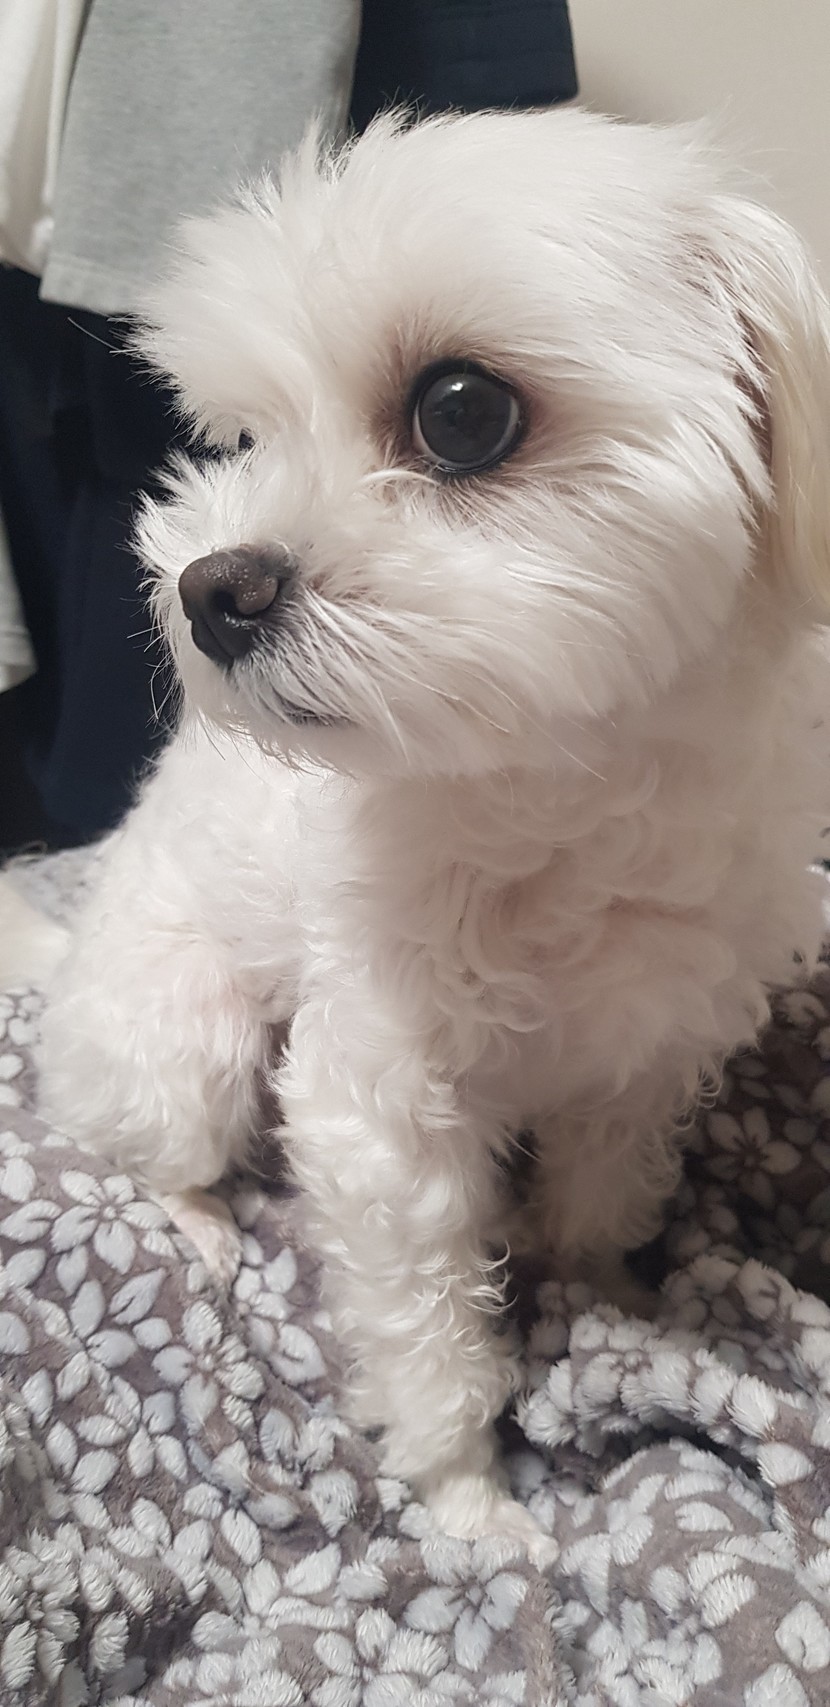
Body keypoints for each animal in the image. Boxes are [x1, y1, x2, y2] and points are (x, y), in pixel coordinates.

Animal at [24, 107, 830, 1553]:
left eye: (461, 411)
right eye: (248, 432)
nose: (206, 588)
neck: (559, 797)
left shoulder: (640, 1055)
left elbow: (598, 1202)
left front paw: (601, 1305)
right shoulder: (379, 1110)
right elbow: (429, 1336)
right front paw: (472, 1505)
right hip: (189, 1049)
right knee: (154, 1151)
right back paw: (204, 1224)